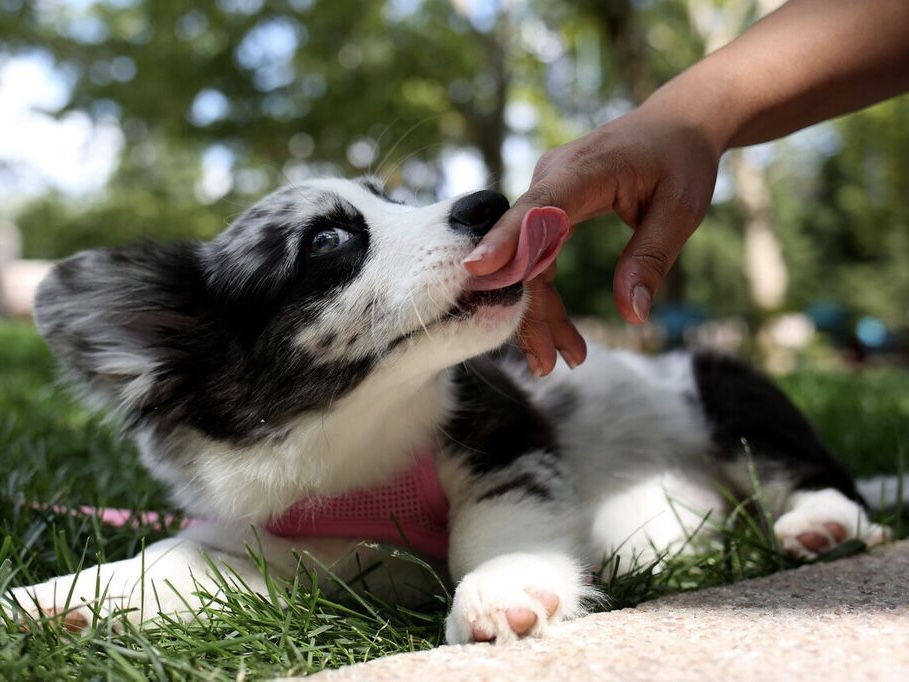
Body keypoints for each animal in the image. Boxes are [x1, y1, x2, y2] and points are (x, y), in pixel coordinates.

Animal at [5, 178, 888, 640]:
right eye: (328, 242)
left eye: (389, 196)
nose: (488, 200)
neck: (358, 437)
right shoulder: (272, 540)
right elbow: (168, 562)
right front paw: (49, 601)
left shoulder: (507, 436)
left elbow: (489, 529)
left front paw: (503, 595)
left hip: (729, 391)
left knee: (812, 471)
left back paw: (822, 524)